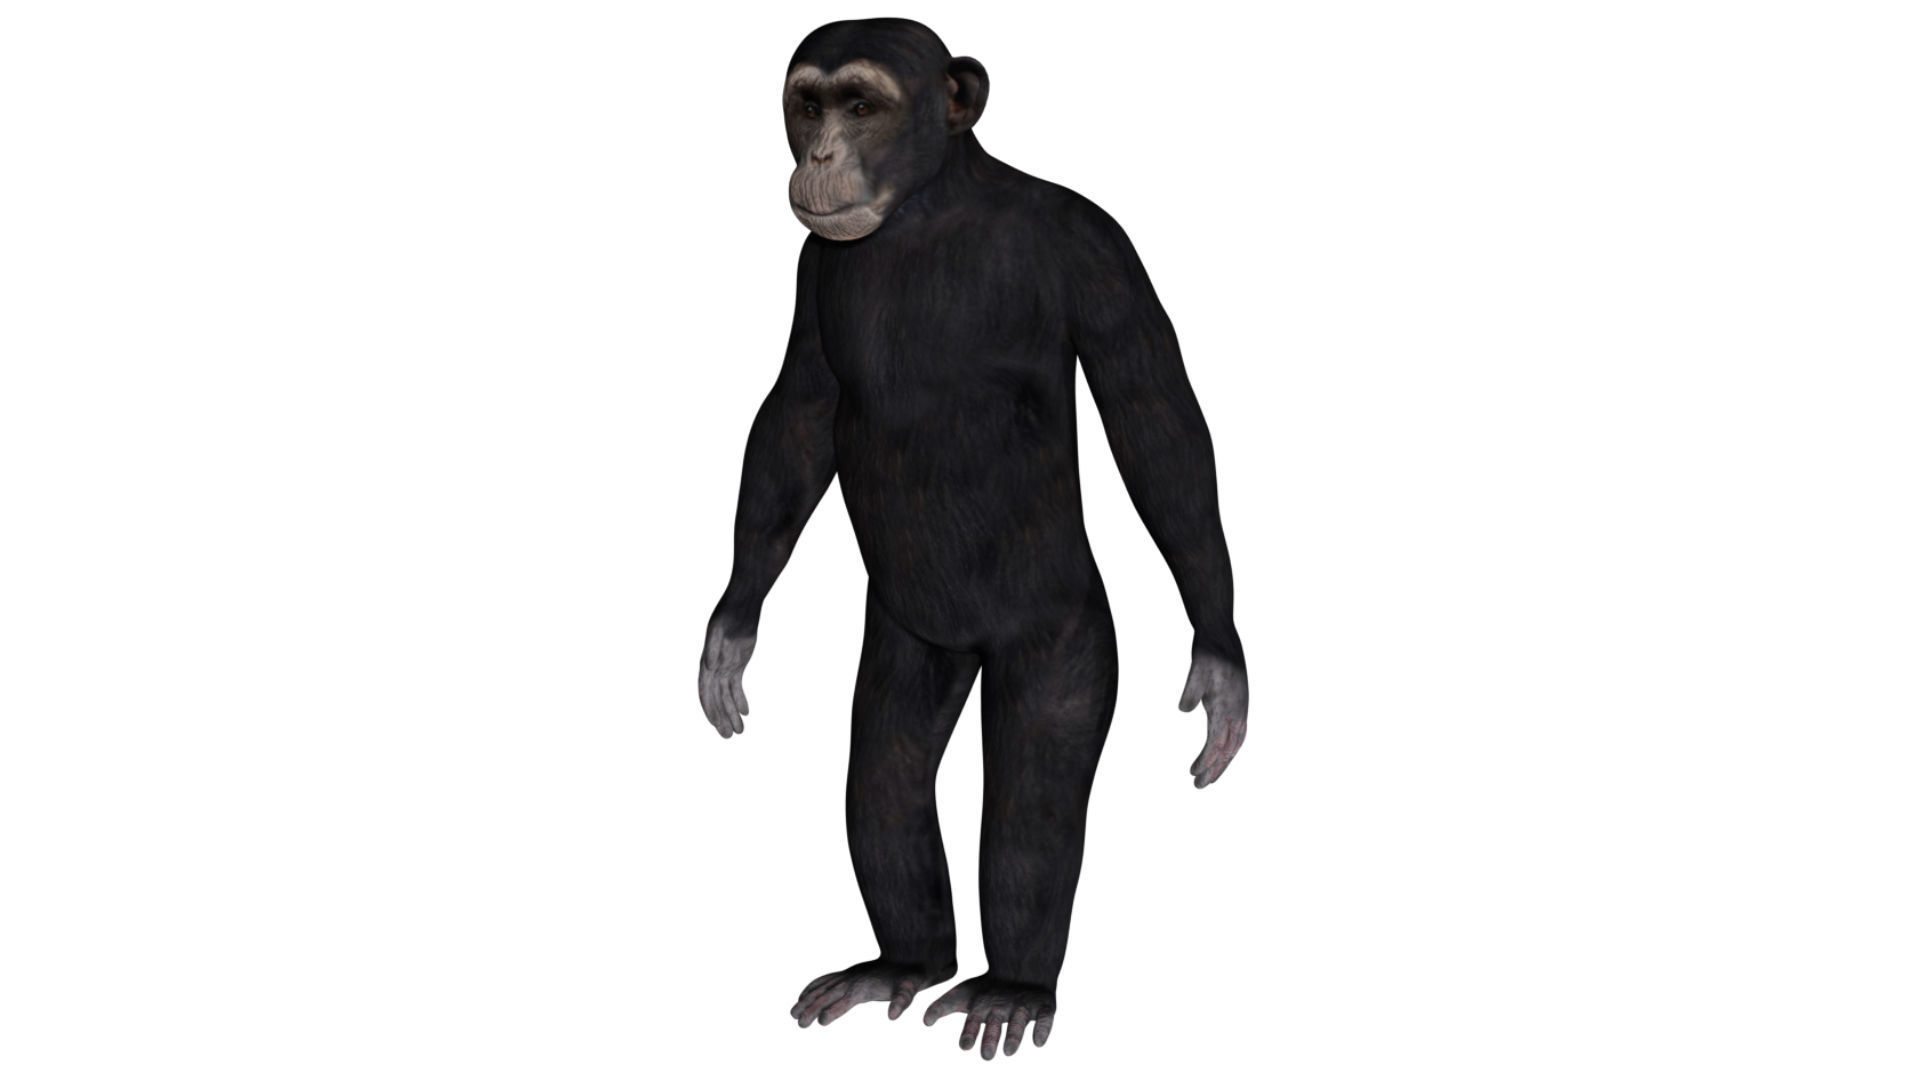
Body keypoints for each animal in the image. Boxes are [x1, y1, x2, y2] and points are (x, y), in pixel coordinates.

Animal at [696, 18, 1248, 1059]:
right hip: (912, 640)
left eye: (860, 103)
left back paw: (1014, 987)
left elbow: (1153, 422)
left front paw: (1220, 663)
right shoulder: (811, 269)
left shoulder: (1098, 248)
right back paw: (903, 963)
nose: (819, 154)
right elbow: (799, 414)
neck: (929, 211)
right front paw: (729, 633)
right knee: (887, 766)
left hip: (1061, 632)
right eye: (807, 103)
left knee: (1037, 782)